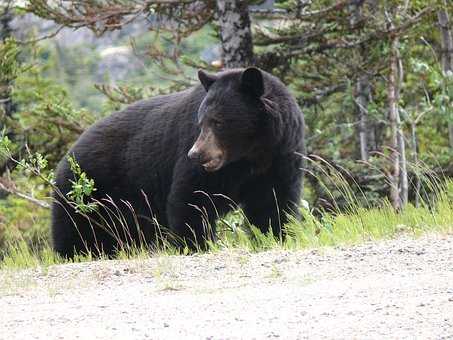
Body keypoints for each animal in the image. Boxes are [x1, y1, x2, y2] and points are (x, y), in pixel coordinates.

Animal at [51, 67, 304, 258]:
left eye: (219, 122)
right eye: (201, 122)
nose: (196, 154)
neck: (250, 155)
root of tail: (66, 158)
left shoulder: (280, 156)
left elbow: (272, 202)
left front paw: (276, 235)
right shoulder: (202, 166)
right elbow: (192, 198)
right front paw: (196, 244)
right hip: (86, 193)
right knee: (76, 230)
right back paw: (74, 253)